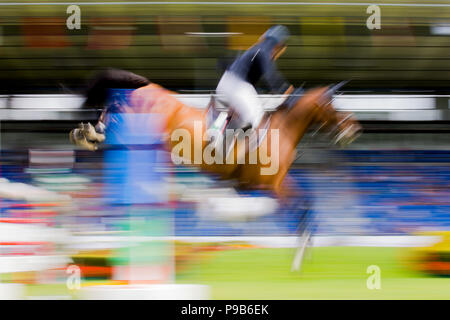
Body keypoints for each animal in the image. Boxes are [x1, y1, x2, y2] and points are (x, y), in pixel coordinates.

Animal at [71, 69, 362, 199]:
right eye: (333, 105)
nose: (354, 128)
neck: (284, 130)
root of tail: (147, 84)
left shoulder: (258, 186)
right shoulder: (267, 187)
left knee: (108, 120)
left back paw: (87, 134)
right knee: (114, 122)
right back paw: (89, 134)